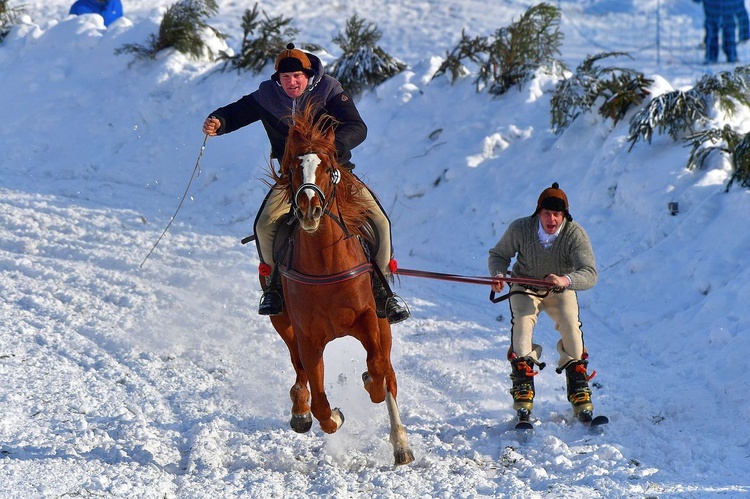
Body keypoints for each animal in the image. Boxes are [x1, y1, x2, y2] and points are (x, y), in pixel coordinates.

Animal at [262, 103, 418, 466]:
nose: (309, 209)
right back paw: (300, 409)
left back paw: (401, 444)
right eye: (292, 168)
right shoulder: (307, 336)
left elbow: (379, 370)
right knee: (298, 369)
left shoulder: (370, 321)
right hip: (283, 322)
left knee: (389, 375)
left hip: (383, 321)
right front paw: (327, 414)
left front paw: (370, 383)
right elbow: (320, 400)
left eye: (329, 166)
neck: (326, 266)